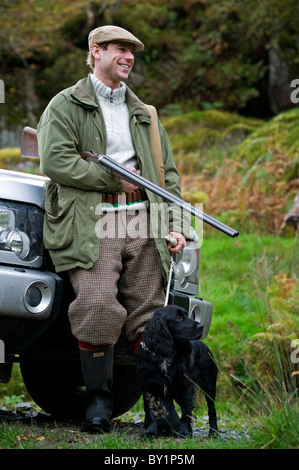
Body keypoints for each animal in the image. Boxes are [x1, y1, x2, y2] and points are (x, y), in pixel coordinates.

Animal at [136, 306, 218, 438]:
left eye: (187, 315)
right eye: (178, 317)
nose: (201, 326)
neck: (165, 355)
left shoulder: (185, 386)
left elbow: (186, 411)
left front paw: (184, 431)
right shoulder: (149, 386)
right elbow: (151, 411)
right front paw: (150, 432)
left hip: (209, 385)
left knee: (212, 410)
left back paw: (214, 433)